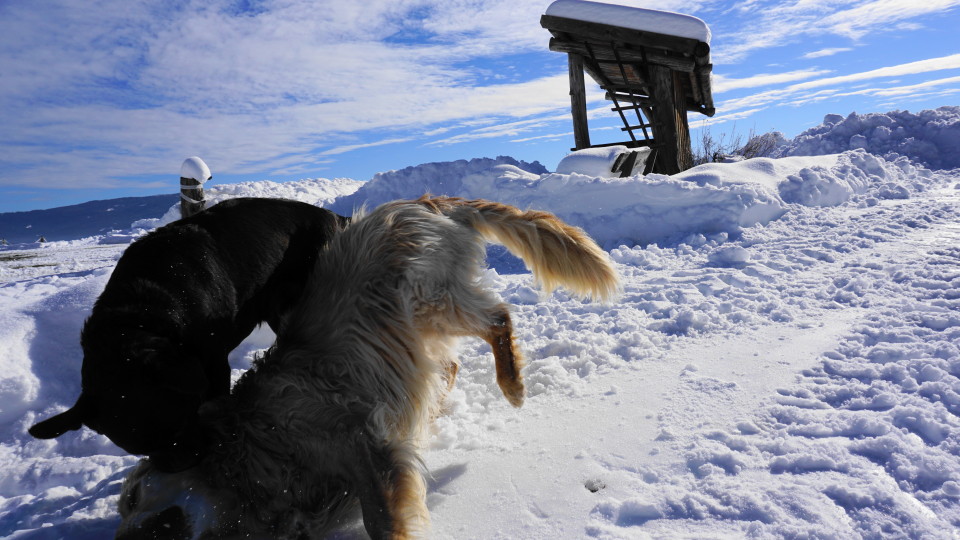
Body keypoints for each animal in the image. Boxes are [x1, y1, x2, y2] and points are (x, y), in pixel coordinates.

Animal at [28, 195, 350, 468]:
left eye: (182, 422)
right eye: (141, 451)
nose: (180, 466)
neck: (143, 312)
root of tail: (335, 216)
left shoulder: (215, 364)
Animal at [114, 196, 624, 540]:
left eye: (133, 498)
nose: (123, 537)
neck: (254, 449)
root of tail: (423, 202)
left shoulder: (361, 436)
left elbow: (381, 519)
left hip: (427, 298)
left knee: (498, 317)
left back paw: (512, 384)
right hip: (417, 331)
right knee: (450, 363)